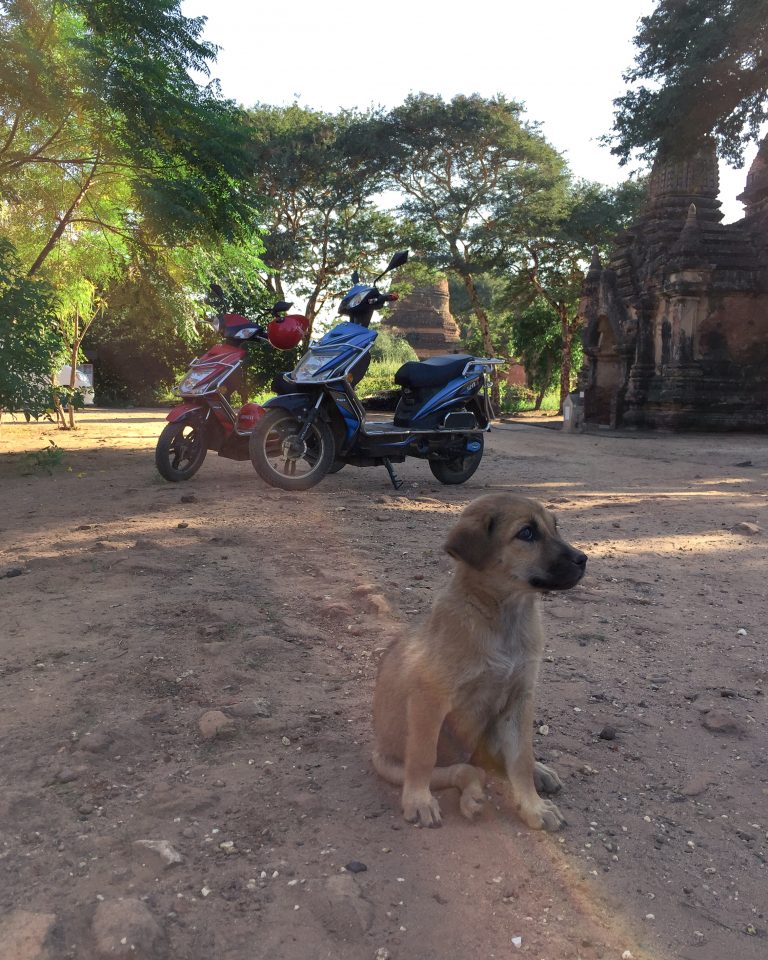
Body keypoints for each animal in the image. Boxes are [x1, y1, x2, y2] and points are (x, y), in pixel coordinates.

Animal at [370, 492, 584, 828]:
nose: (583, 560)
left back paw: (539, 772)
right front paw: (418, 799)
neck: (502, 618)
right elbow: (423, 756)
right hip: (391, 763)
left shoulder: (519, 698)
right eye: (527, 533)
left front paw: (534, 807)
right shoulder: (428, 700)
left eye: (555, 527)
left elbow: (521, 757)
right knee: (462, 770)